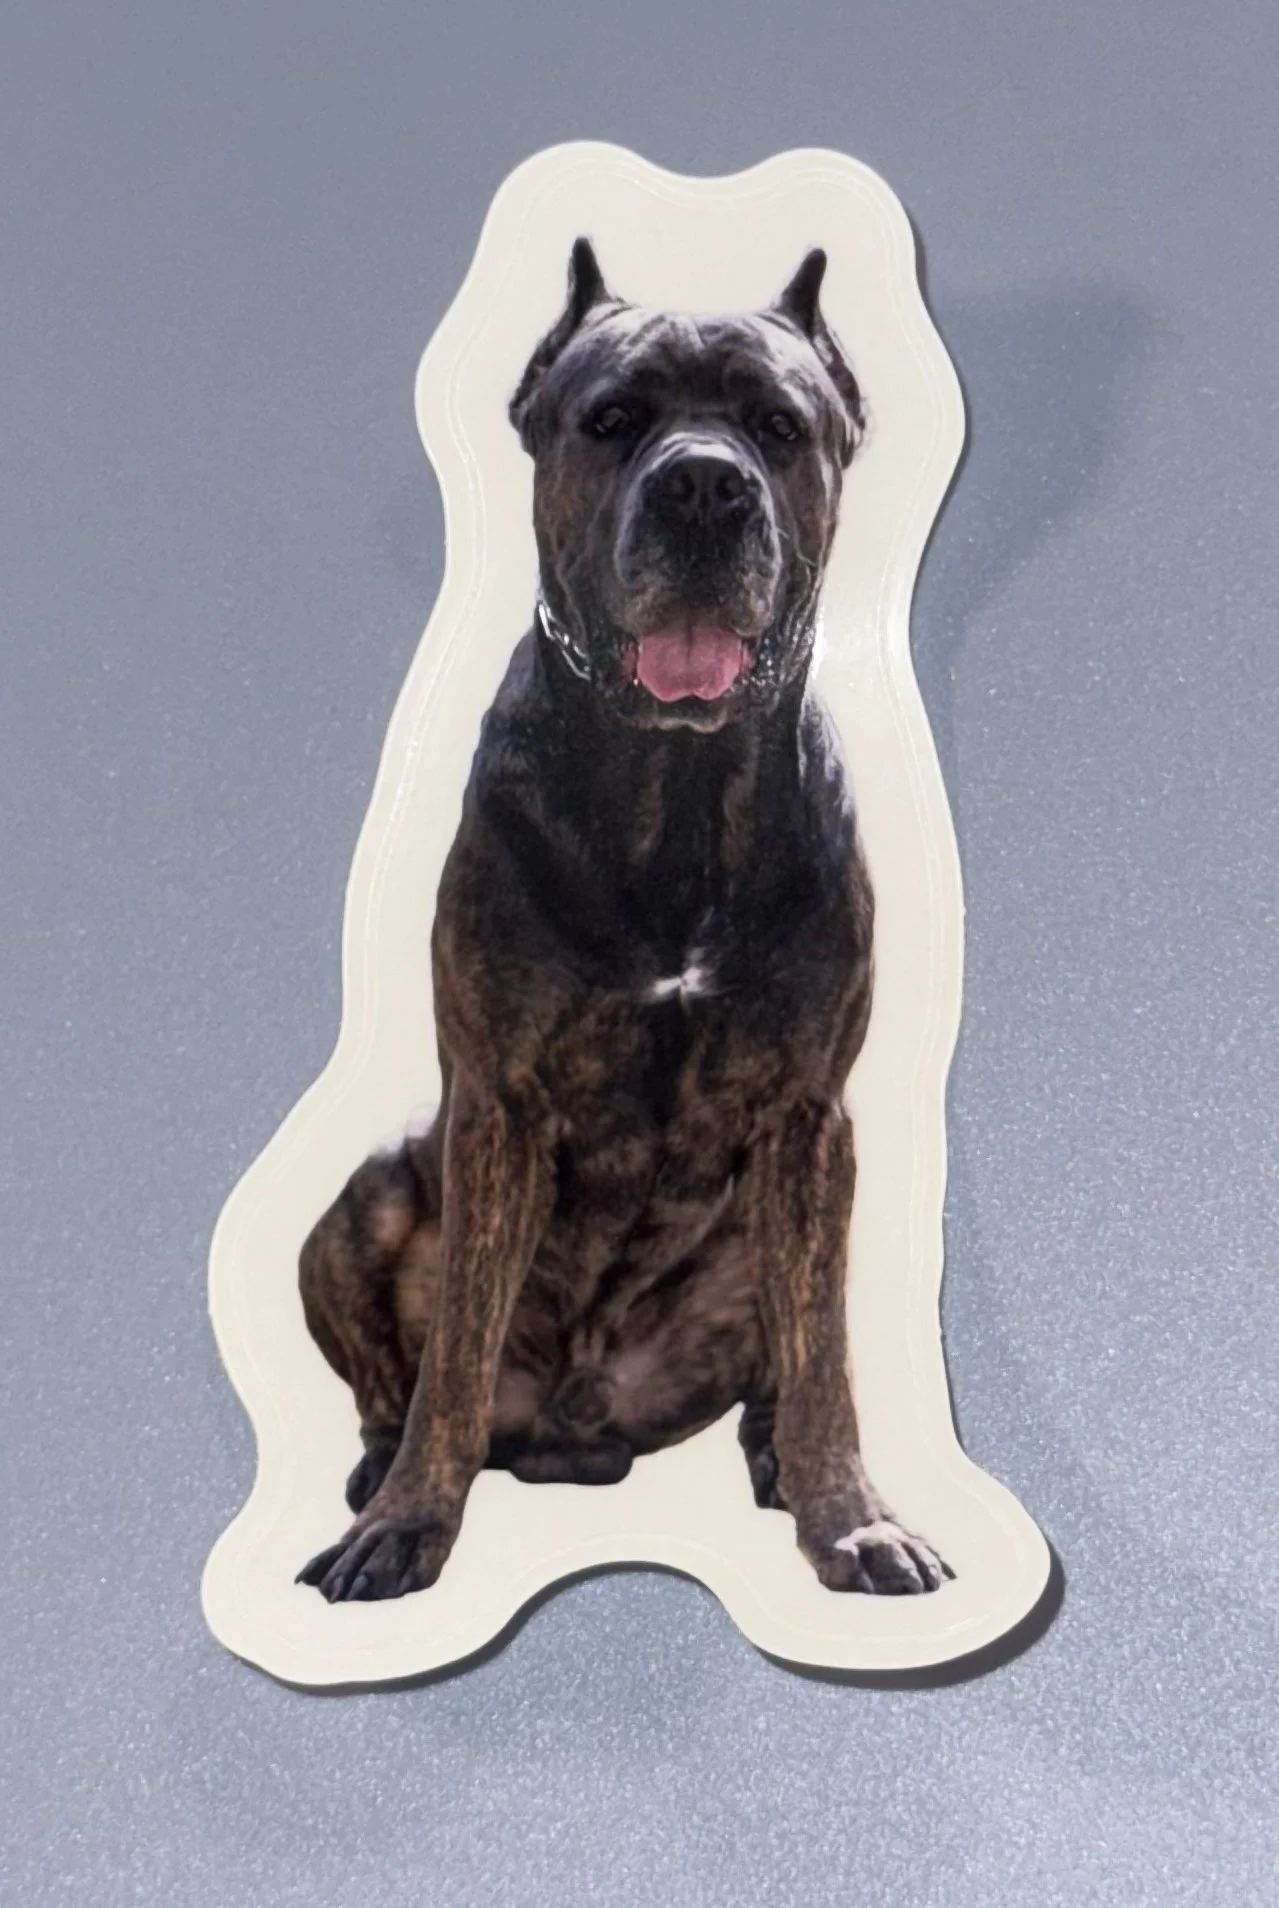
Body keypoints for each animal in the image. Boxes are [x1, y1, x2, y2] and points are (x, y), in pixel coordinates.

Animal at [296, 239, 949, 1602]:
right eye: (609, 419)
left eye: (778, 426)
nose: (702, 485)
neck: (676, 786)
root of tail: (575, 1431)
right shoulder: (495, 1105)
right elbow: (454, 1354)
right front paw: (408, 1524)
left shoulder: (810, 1114)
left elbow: (824, 1356)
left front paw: (853, 1520)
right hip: (363, 1197)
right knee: (402, 1378)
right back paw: (377, 1476)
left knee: (795, 1351)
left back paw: (779, 1466)